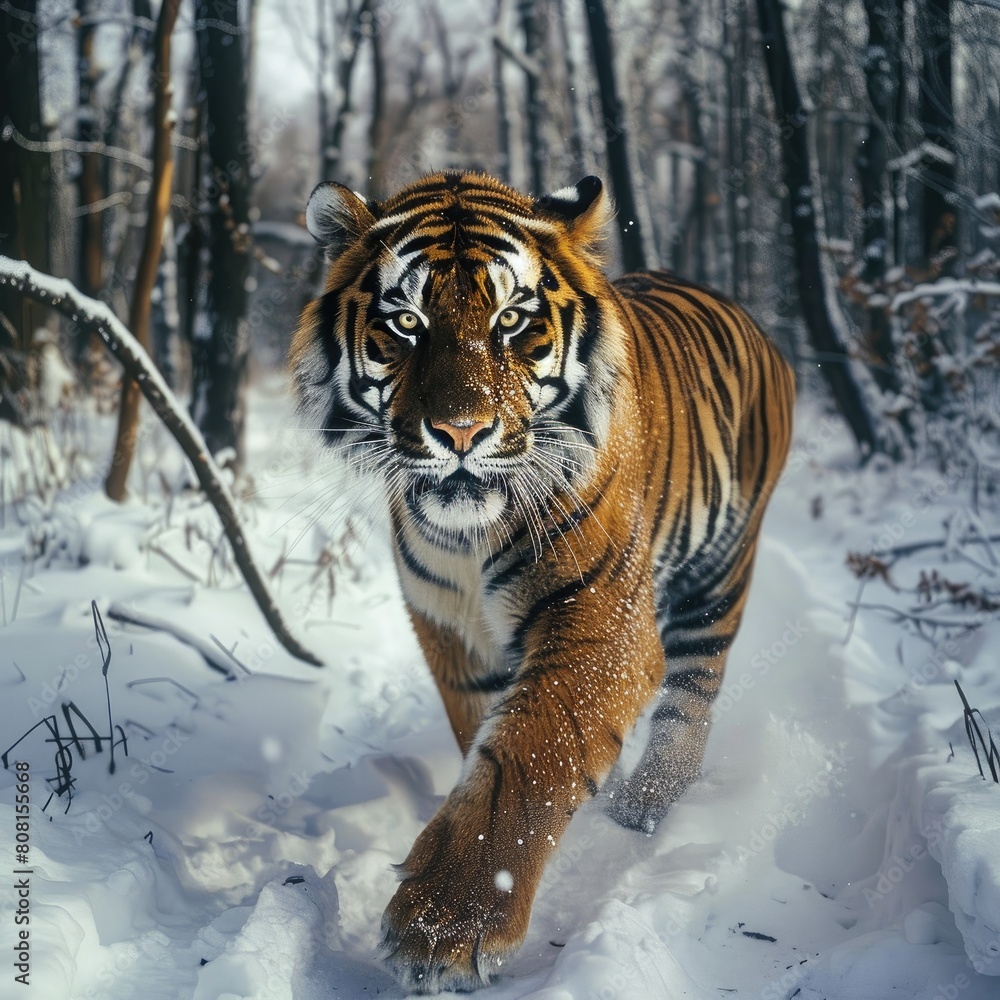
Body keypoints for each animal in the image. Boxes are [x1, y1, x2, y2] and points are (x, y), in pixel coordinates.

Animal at [290, 170, 795, 993]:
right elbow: (487, 742)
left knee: (692, 701)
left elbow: (528, 756)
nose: (460, 433)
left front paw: (444, 926)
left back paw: (645, 807)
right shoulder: (451, 632)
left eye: (512, 319)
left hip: (719, 576)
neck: (467, 534)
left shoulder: (605, 625)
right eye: (406, 322)